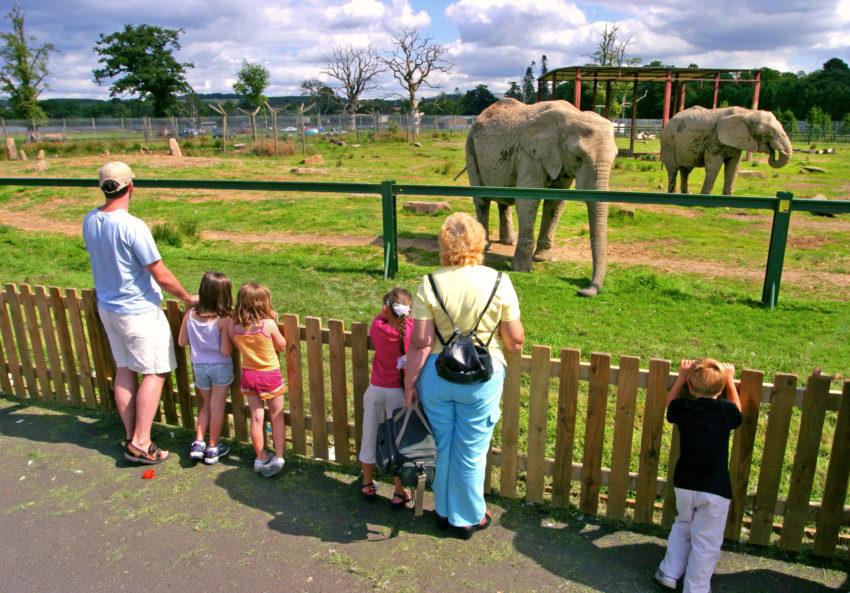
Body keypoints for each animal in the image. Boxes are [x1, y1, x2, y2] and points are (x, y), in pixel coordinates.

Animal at [464, 100, 616, 300]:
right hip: (471, 150)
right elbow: (528, 201)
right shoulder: (529, 154)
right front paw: (522, 269)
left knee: (503, 200)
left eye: (615, 157)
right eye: (578, 157)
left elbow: (556, 204)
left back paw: (508, 242)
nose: (582, 290)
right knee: (482, 200)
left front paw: (543, 259)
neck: (572, 115)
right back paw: (485, 246)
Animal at [660, 106, 792, 194]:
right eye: (768, 133)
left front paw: (727, 203)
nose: (772, 151)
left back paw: (687, 195)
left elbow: (733, 167)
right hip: (668, 143)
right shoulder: (714, 139)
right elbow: (714, 166)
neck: (747, 113)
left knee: (686, 170)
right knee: (673, 170)